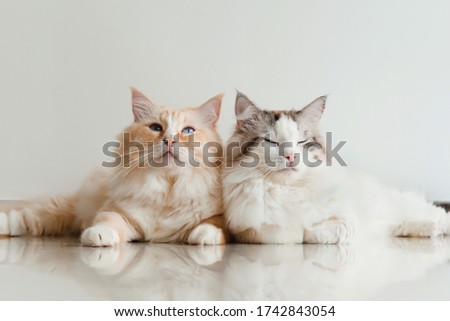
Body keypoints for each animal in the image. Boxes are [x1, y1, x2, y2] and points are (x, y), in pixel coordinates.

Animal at [0, 87, 227, 245]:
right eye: (156, 128)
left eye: (188, 131)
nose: (170, 140)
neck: (168, 188)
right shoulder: (117, 212)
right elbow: (109, 223)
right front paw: (97, 236)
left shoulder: (219, 216)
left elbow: (212, 224)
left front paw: (205, 236)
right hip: (62, 210)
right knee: (25, 217)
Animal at [225, 92, 450, 242]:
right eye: (271, 141)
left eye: (301, 142)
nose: (290, 155)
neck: (288, 190)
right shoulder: (251, 230)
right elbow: (291, 232)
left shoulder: (344, 216)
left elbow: (330, 228)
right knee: (400, 224)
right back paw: (430, 229)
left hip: (392, 204)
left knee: (429, 211)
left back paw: (439, 226)